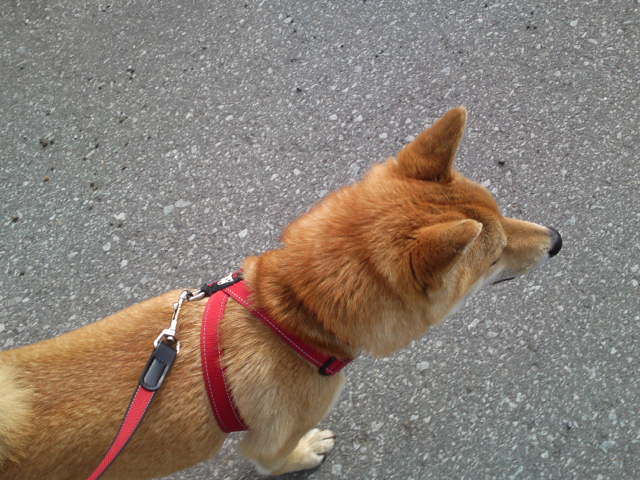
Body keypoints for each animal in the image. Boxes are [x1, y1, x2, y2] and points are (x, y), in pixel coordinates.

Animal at [0, 107, 561, 479]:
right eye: (494, 255)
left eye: (503, 211)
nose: (557, 240)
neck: (291, 316)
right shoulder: (267, 443)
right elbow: (278, 459)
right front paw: (305, 454)